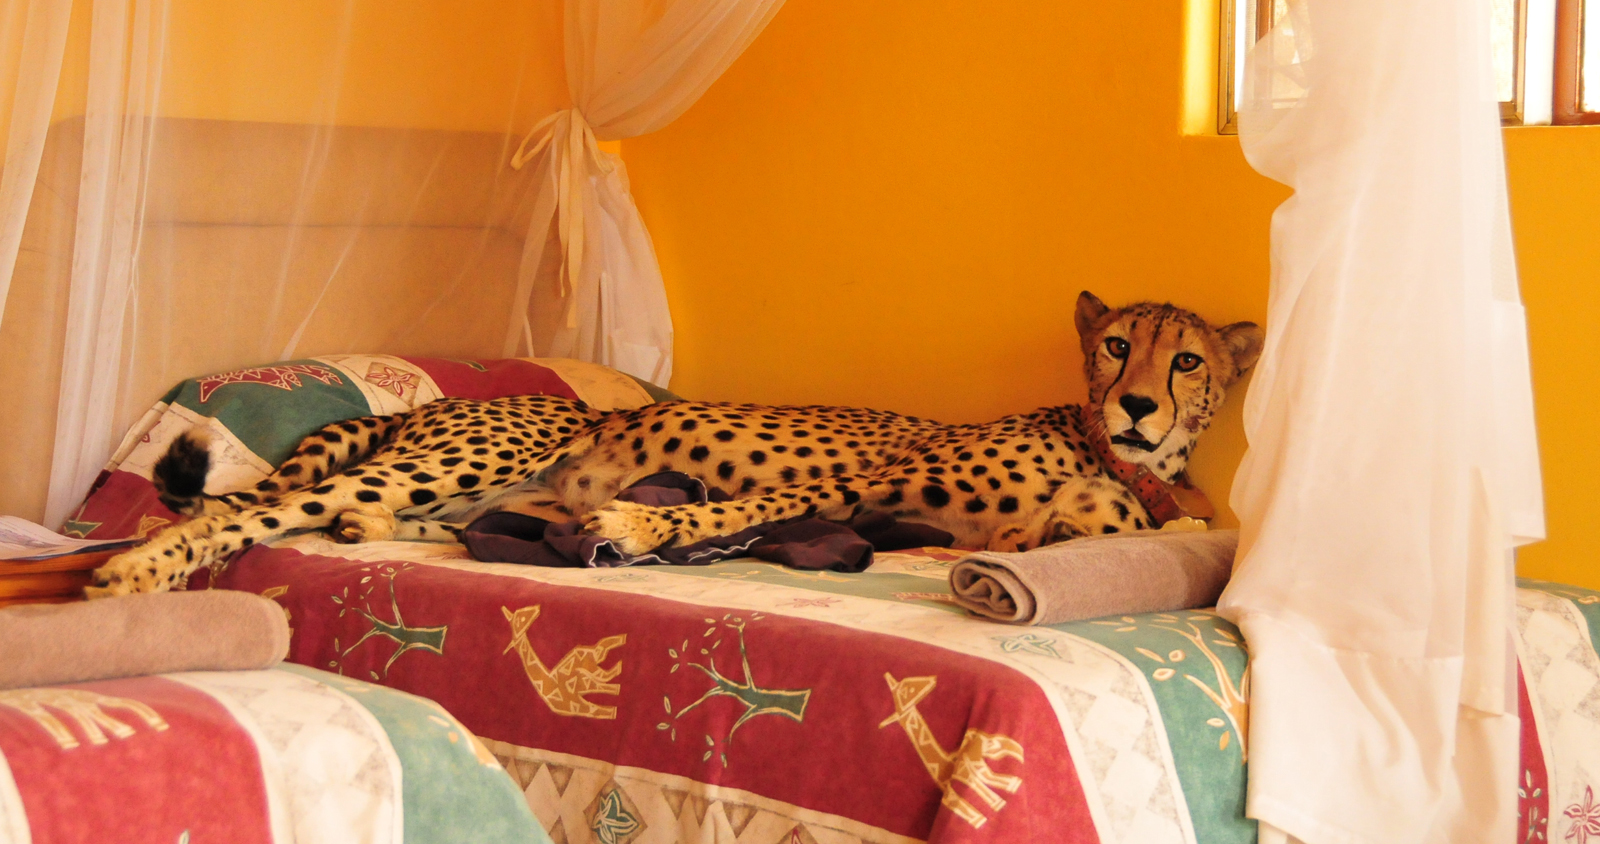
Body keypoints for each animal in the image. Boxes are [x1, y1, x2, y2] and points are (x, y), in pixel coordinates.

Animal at [87, 290, 1260, 597]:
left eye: (1187, 360)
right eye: (1118, 346)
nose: (1139, 405)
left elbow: (1111, 534)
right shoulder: (855, 482)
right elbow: (751, 505)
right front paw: (642, 521)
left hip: (446, 493)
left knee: (354, 515)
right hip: (486, 447)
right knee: (244, 509)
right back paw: (136, 569)